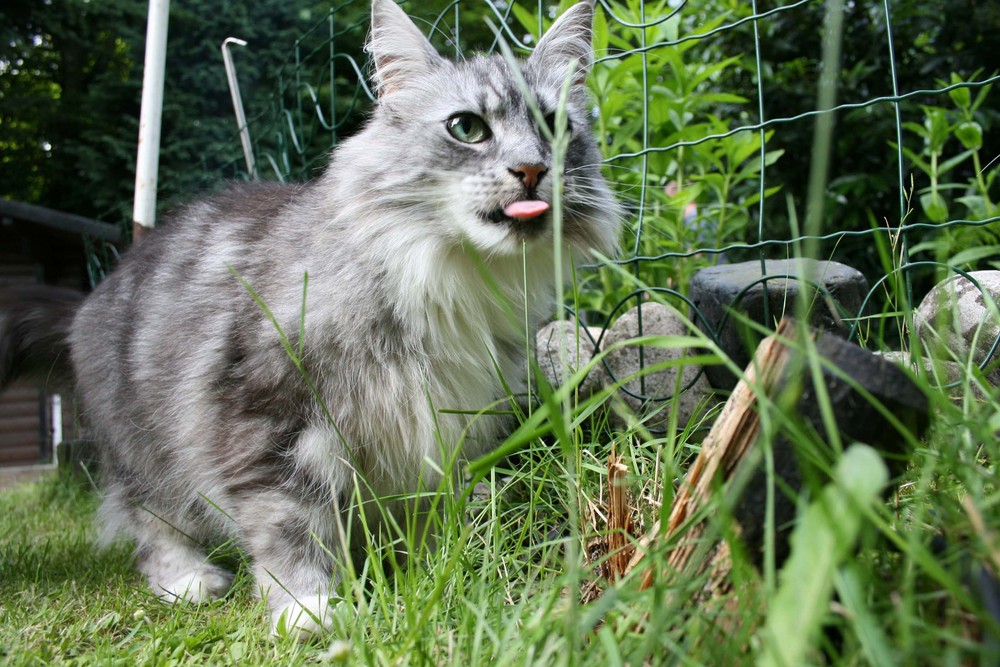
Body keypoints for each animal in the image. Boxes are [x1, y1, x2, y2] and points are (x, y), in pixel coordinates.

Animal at [0, 0, 620, 640]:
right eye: (467, 128)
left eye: (556, 128)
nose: (531, 170)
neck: (443, 276)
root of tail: (88, 299)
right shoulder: (272, 419)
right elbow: (291, 525)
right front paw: (309, 609)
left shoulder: (443, 432)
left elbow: (426, 526)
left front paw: (429, 583)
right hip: (144, 448)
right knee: (149, 521)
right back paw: (189, 580)